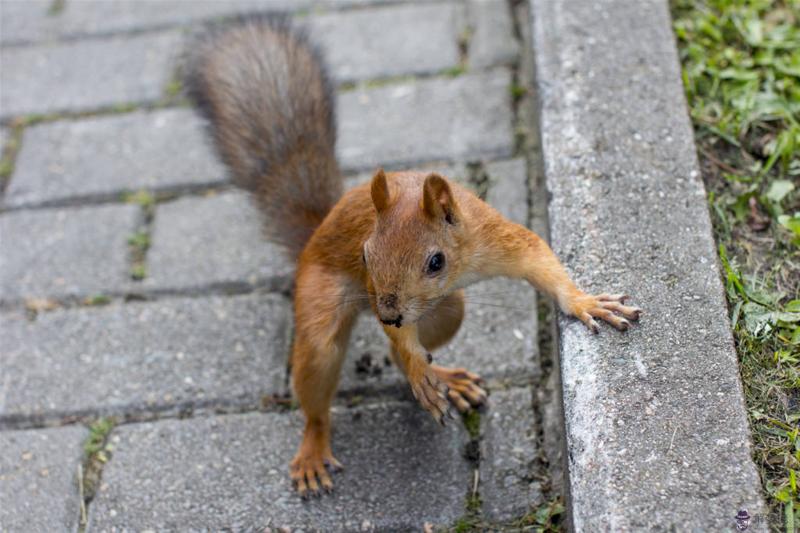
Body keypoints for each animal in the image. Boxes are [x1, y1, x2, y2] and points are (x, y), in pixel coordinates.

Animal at [184, 17, 640, 498]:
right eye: (365, 255)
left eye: (435, 262)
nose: (388, 314)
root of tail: (313, 237)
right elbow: (402, 342)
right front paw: (418, 365)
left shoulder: (495, 238)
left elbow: (540, 260)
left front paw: (587, 303)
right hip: (321, 303)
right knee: (323, 383)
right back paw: (318, 444)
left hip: (449, 311)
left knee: (409, 344)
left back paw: (447, 380)